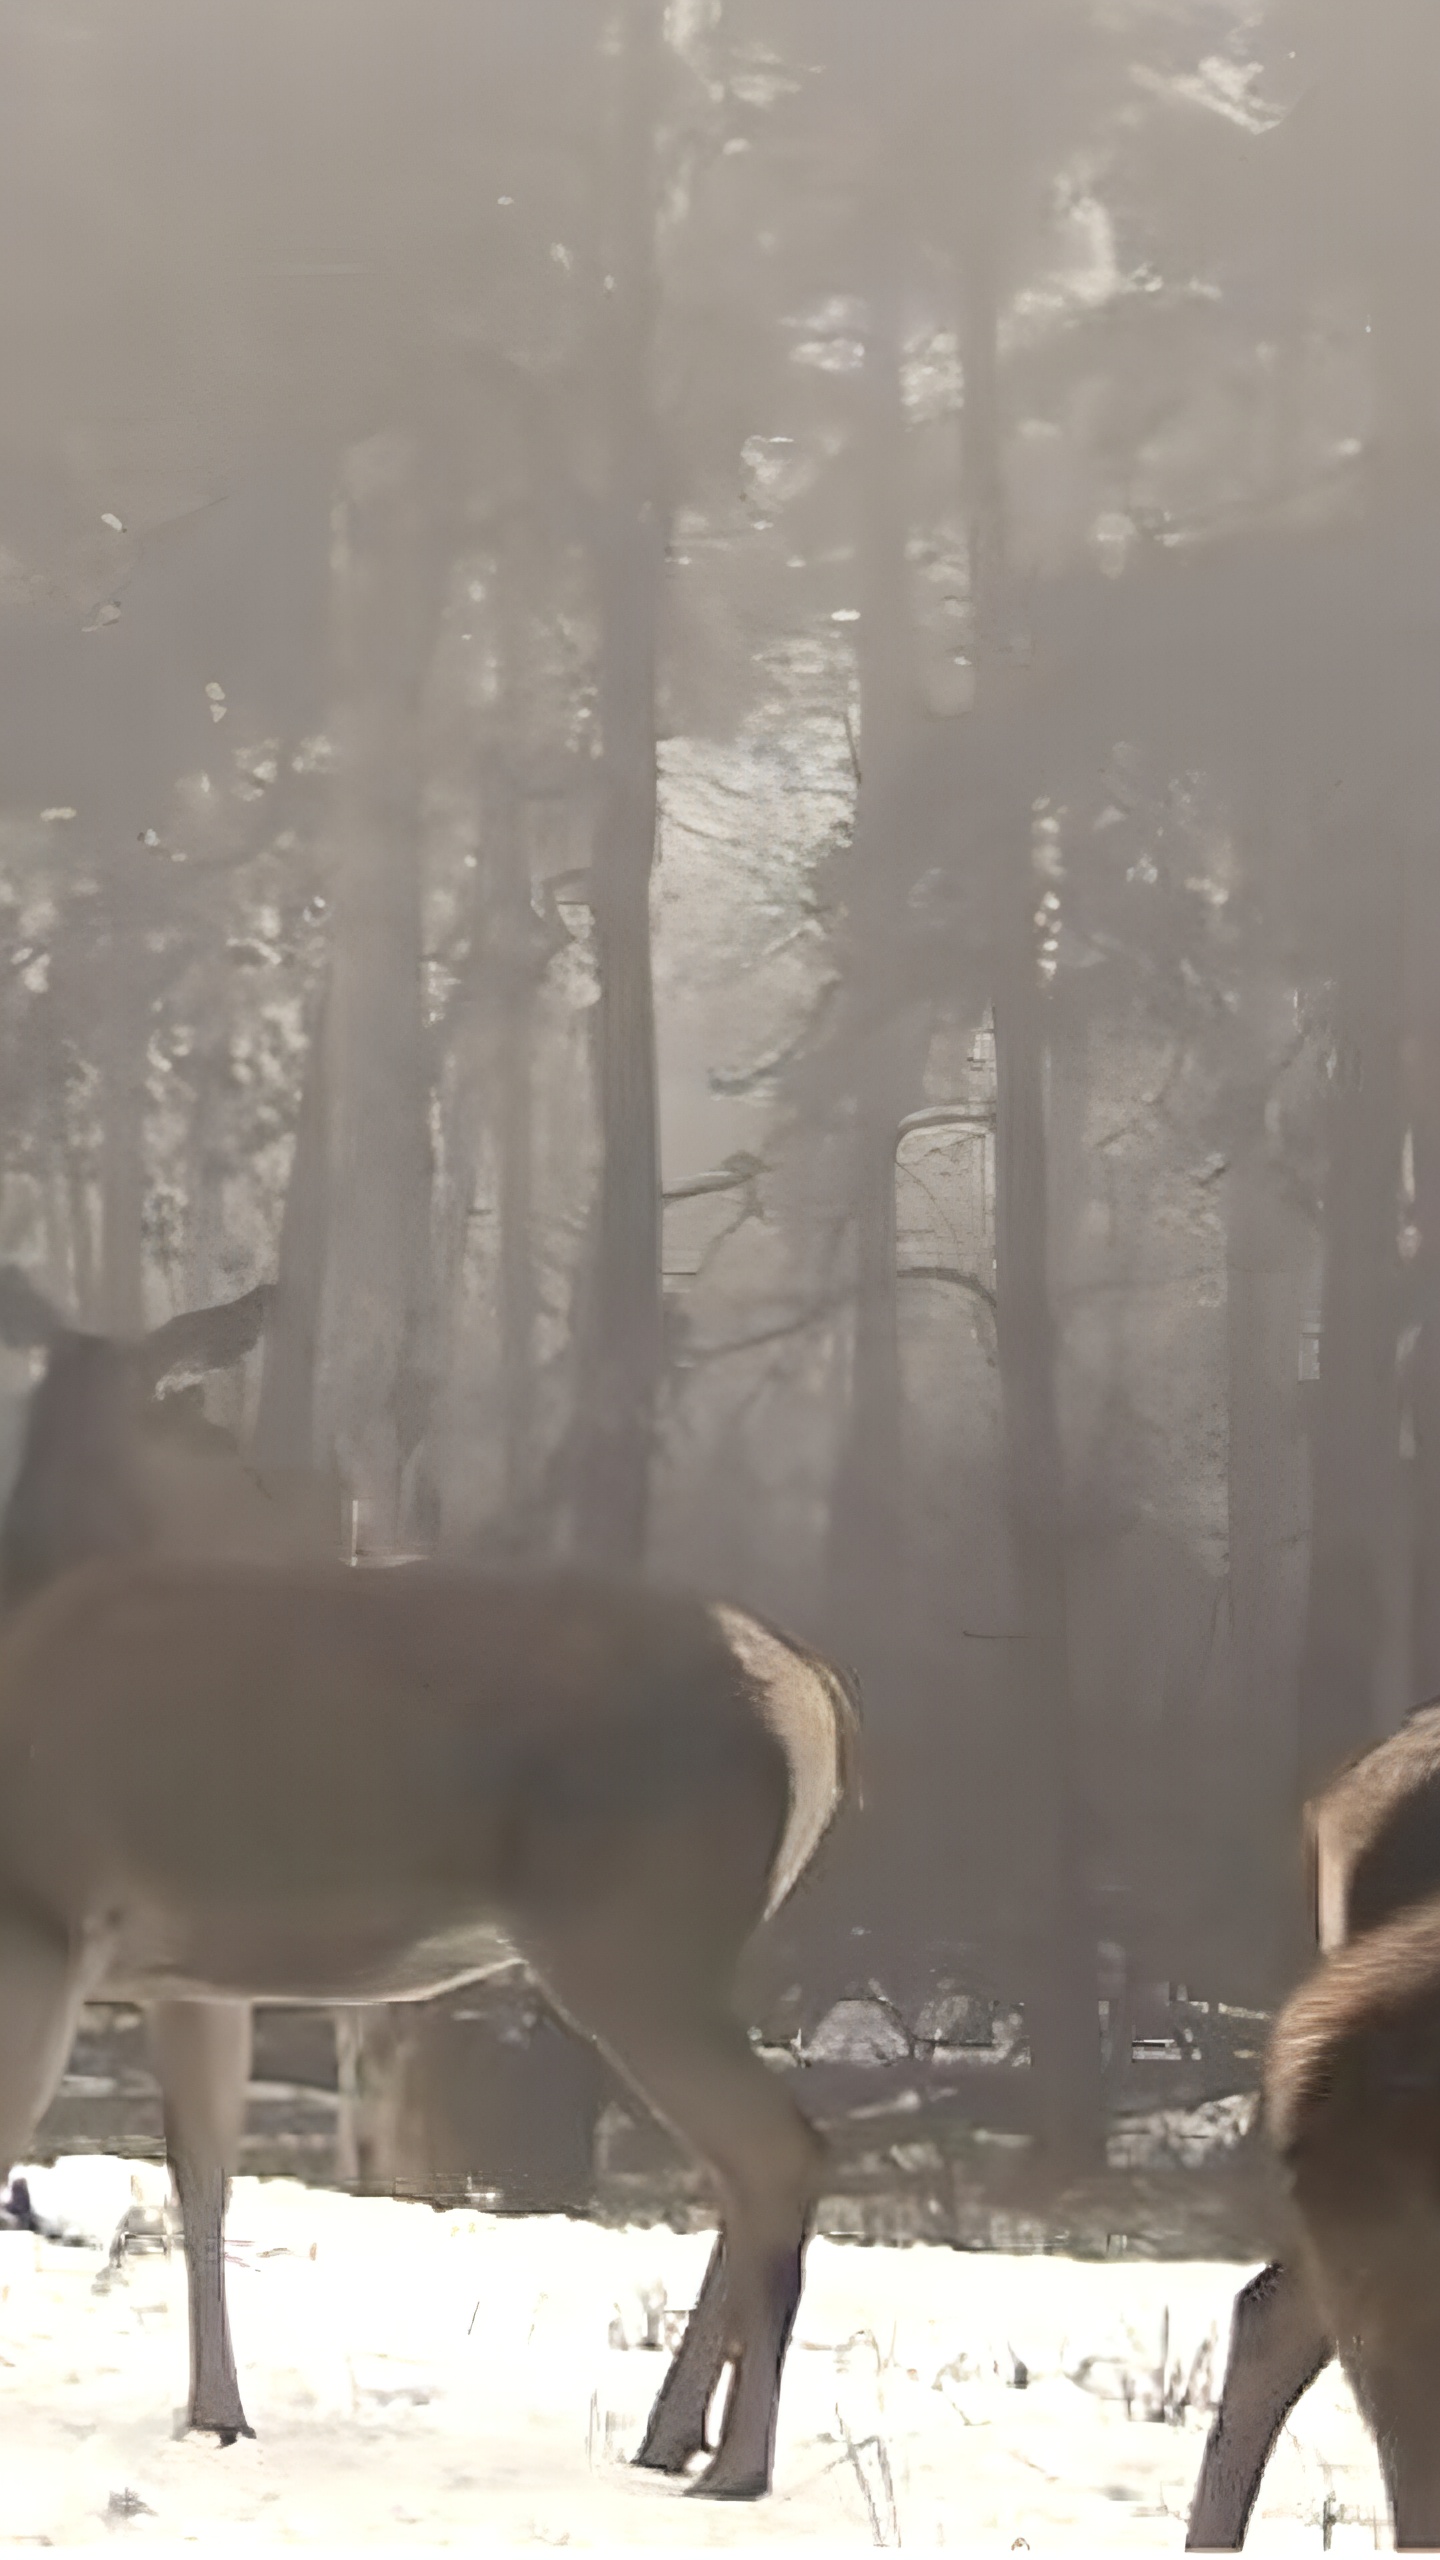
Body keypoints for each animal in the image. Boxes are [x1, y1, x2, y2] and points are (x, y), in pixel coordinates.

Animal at [0, 1269, 855, 2488]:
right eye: (213, 1425)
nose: (333, 1510)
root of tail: (812, 1693)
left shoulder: (46, 1908)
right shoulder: (190, 1973)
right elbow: (203, 2172)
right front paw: (220, 2414)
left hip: (633, 1929)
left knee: (775, 2153)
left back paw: (733, 2466)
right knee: (741, 2167)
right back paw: (668, 2437)